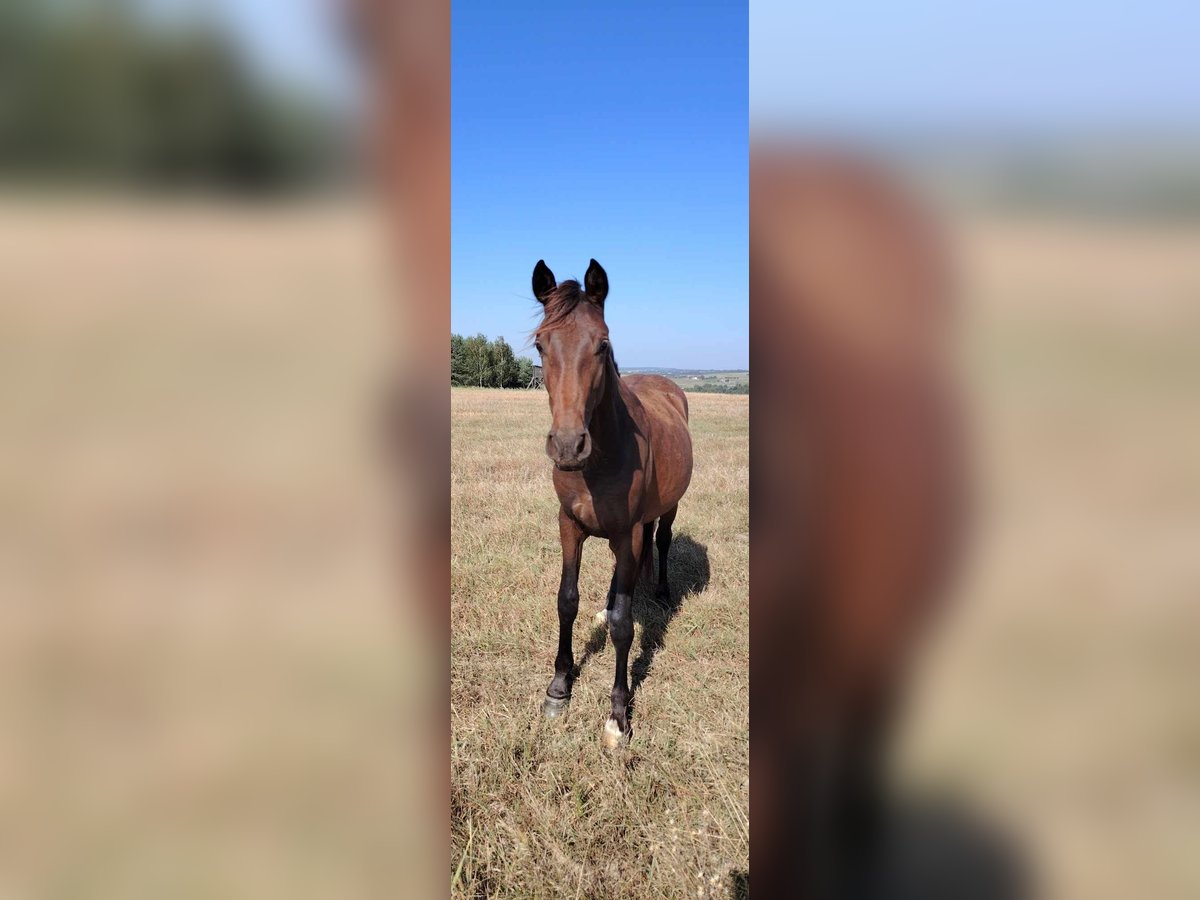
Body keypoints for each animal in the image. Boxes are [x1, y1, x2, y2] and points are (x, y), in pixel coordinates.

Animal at [532, 256, 696, 748]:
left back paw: (659, 590)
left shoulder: (628, 532)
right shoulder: (569, 525)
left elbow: (626, 624)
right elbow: (566, 600)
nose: (568, 446)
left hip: (663, 514)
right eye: (540, 344)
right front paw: (559, 688)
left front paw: (618, 715)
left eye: (602, 344)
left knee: (661, 542)